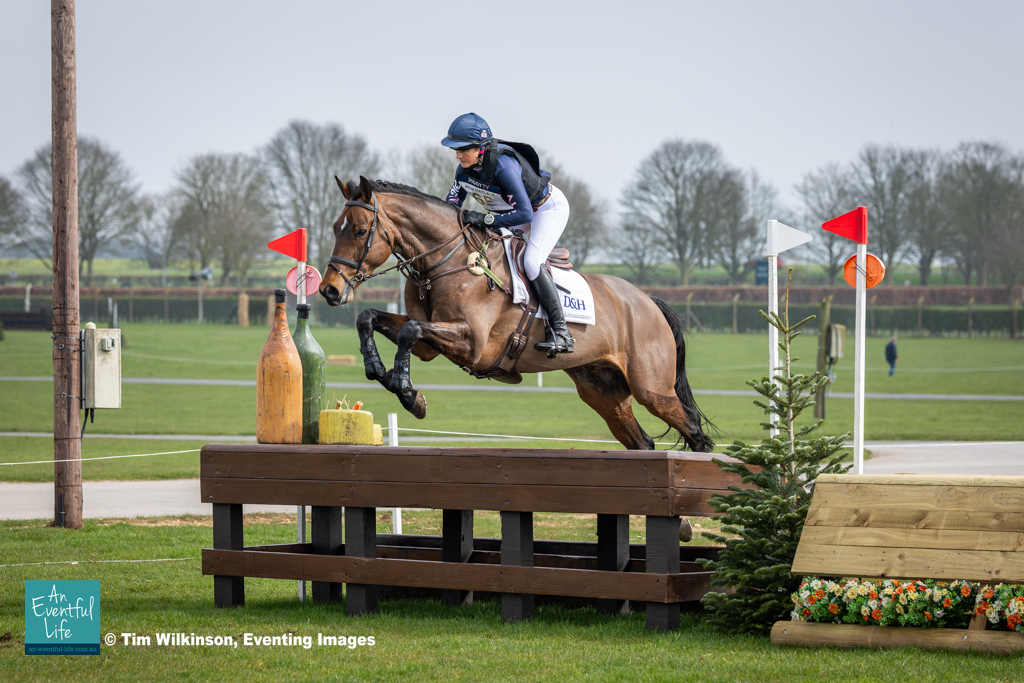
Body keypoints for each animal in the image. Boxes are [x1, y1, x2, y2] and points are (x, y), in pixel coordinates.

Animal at [318, 176, 714, 452]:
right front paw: (380, 372)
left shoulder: (473, 344)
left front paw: (406, 391)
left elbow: (409, 330)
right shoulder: (431, 346)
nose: (329, 290)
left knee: (695, 432)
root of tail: (649, 302)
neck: (446, 261)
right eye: (335, 228)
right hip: (602, 391)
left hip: (653, 390)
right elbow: (371, 319)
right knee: (642, 442)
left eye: (359, 231)